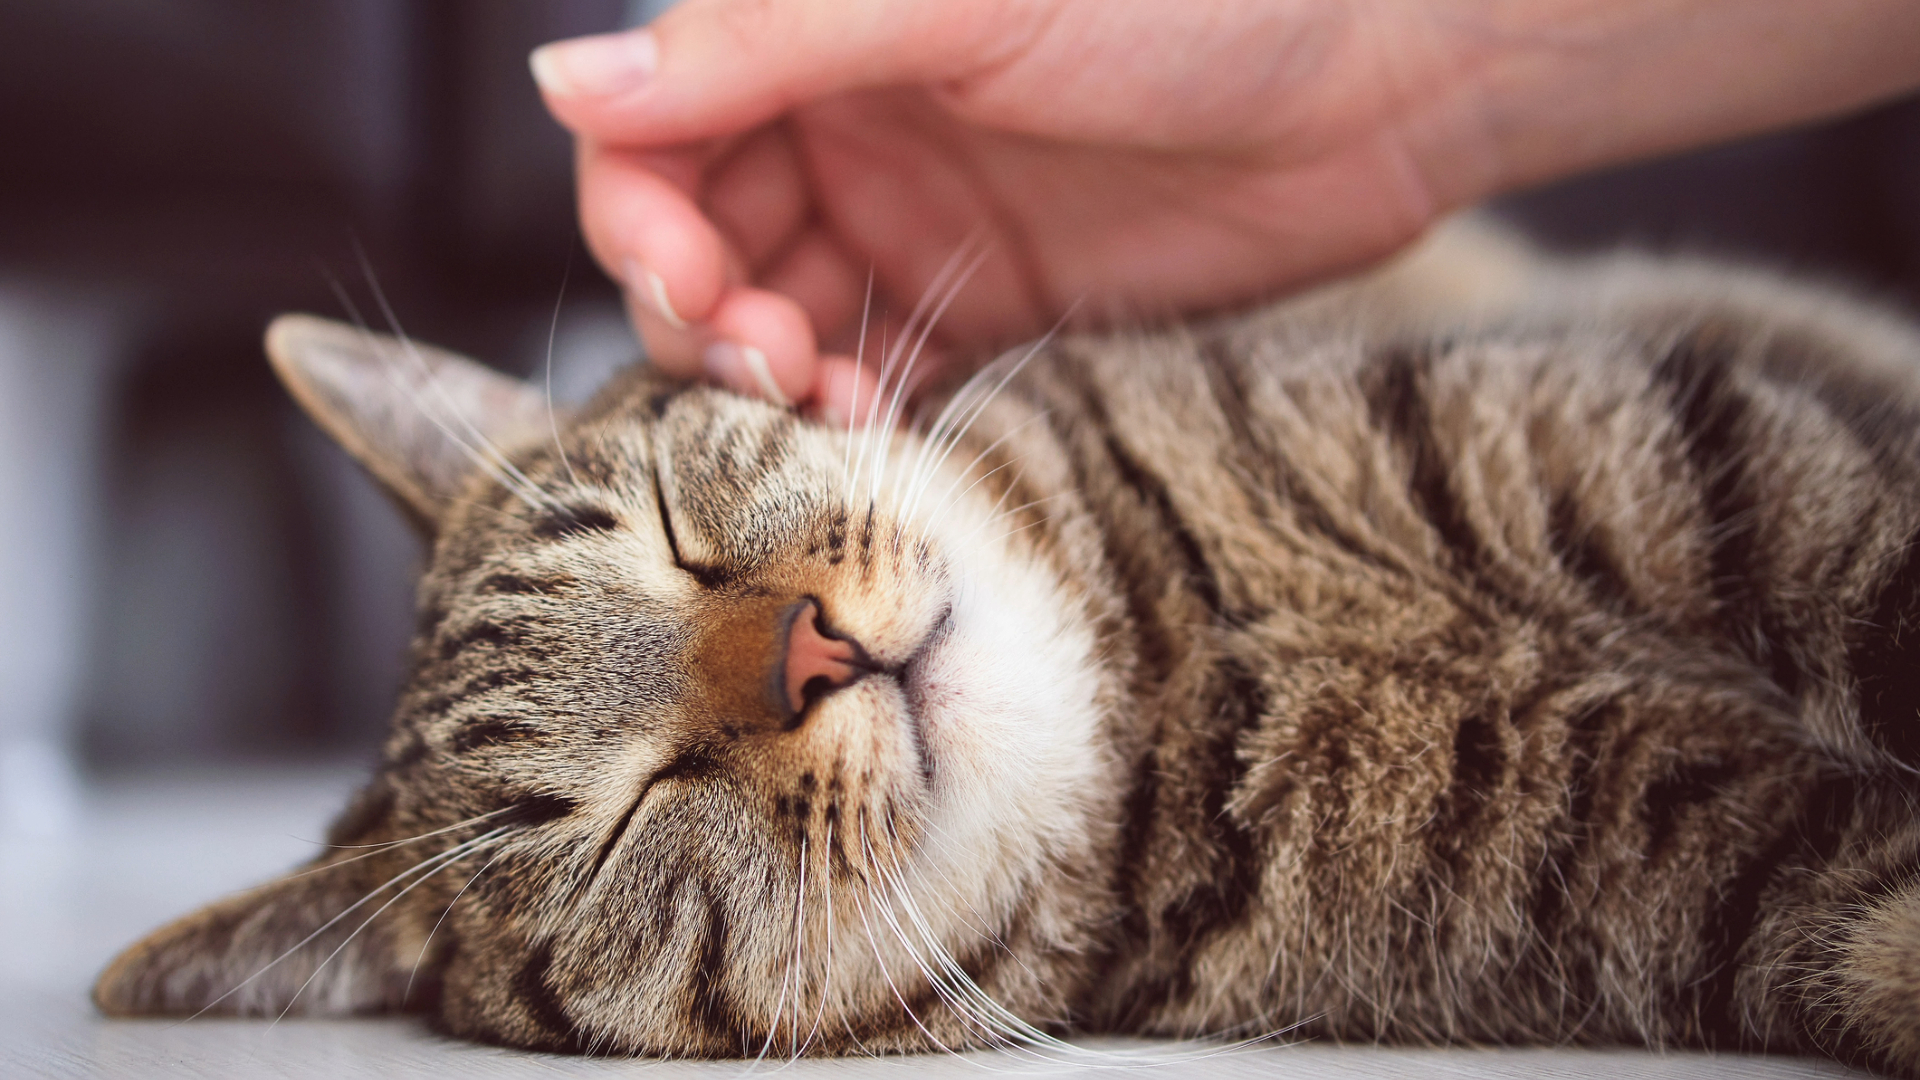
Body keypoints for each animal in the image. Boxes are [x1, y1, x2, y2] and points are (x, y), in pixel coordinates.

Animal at [93, 219, 1920, 1068]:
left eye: (675, 526)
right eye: (623, 818)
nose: (810, 653)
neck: (1194, 668)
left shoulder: (1725, 459)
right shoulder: (1778, 894)